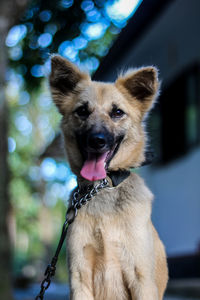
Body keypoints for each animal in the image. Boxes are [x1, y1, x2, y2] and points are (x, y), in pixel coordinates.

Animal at [49, 55, 168, 298]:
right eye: (82, 111)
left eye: (117, 112)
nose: (97, 140)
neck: (102, 187)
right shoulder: (80, 277)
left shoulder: (142, 279)